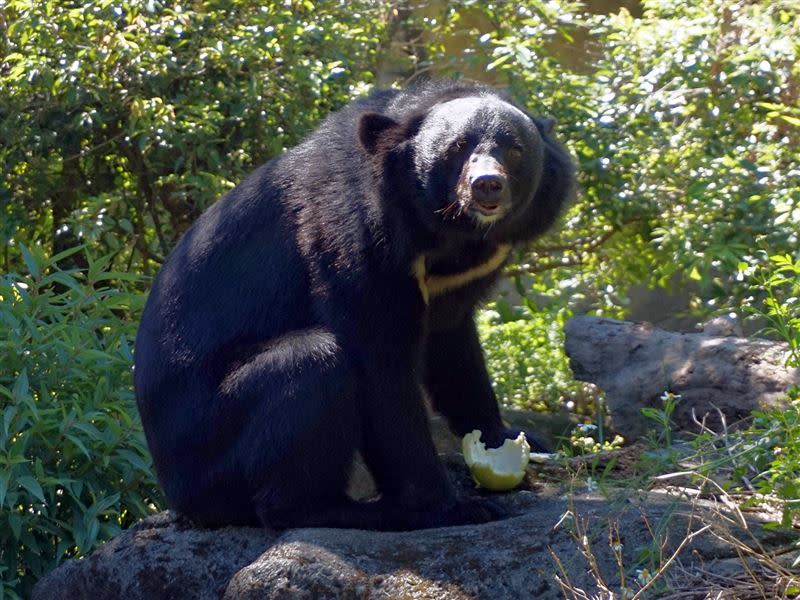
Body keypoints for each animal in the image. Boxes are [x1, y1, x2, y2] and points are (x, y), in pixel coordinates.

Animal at [136, 78, 576, 528]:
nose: (487, 184)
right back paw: (354, 511)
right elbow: (381, 364)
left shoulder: (460, 279)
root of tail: (175, 491)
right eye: (456, 147)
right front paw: (453, 507)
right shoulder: (354, 238)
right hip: (212, 435)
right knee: (310, 367)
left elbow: (454, 348)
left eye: (514, 150)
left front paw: (506, 439)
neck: (447, 234)